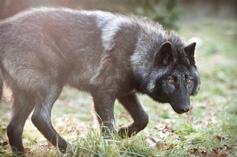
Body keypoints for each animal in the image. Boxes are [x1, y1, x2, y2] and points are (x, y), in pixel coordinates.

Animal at [0, 7, 200, 153]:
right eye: (171, 81)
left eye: (188, 81)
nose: (185, 108)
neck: (134, 50)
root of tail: (5, 27)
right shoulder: (102, 93)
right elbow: (109, 126)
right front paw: (112, 146)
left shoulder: (125, 93)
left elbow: (143, 118)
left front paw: (122, 133)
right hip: (54, 81)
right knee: (39, 117)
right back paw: (69, 148)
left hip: (26, 96)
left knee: (14, 127)